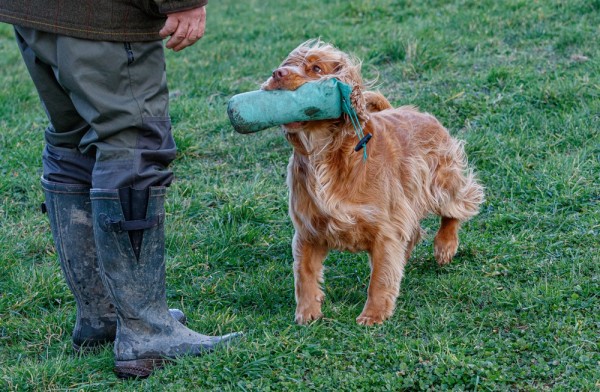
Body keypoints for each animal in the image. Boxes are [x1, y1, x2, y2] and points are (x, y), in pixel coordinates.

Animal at [260, 39, 486, 324]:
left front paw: (373, 315)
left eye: (316, 68)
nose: (277, 73)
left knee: (459, 205)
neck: (325, 154)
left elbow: (380, 277)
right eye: (286, 63)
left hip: (441, 181)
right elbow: (304, 275)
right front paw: (307, 313)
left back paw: (445, 246)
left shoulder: (385, 229)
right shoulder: (308, 230)